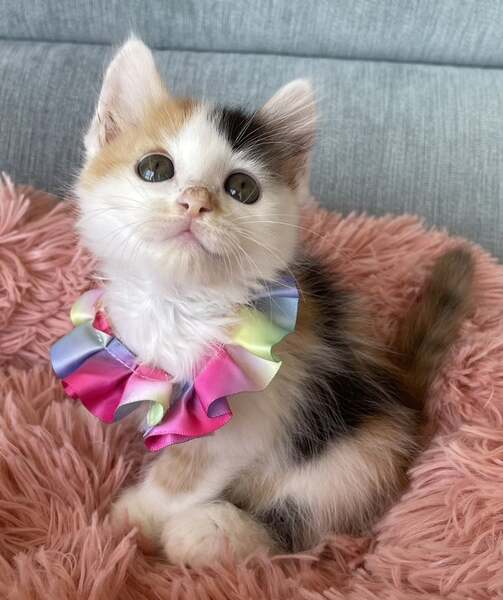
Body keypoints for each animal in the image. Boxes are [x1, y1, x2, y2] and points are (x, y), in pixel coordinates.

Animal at [75, 38, 474, 567]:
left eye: (242, 188)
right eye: (155, 169)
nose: (194, 202)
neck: (182, 304)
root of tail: (403, 389)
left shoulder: (251, 413)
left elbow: (187, 471)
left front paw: (136, 515)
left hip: (356, 453)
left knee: (309, 522)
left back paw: (210, 532)